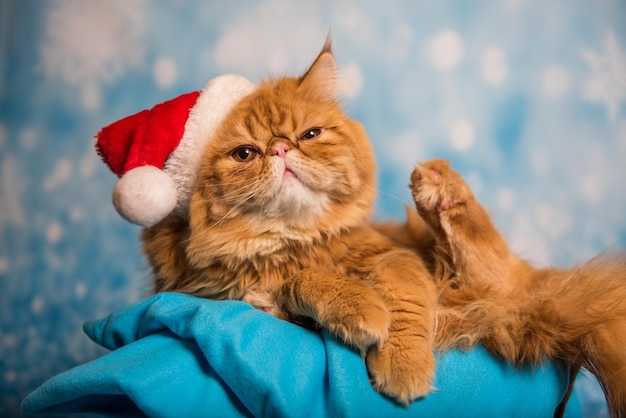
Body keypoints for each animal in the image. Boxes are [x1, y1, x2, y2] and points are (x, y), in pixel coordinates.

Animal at [141, 39, 434, 404]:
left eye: (309, 135)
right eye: (245, 154)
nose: (280, 148)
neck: (292, 239)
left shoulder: (396, 256)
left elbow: (404, 304)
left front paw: (403, 365)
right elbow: (306, 282)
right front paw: (358, 307)